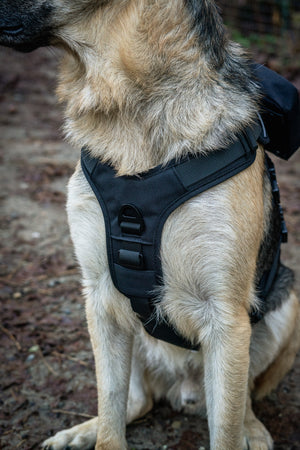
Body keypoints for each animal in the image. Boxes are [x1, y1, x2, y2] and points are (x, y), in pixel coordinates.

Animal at [0, 0, 300, 450]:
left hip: (283, 306)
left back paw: (252, 429)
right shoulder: (100, 297)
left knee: (240, 398)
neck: (129, 99)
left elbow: (225, 428)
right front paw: (100, 433)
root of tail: (181, 386)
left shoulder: (226, 317)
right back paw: (80, 431)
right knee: (135, 401)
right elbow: (111, 409)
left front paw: (240, 430)